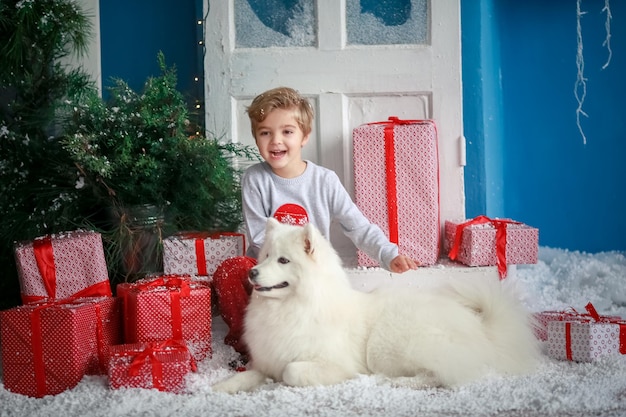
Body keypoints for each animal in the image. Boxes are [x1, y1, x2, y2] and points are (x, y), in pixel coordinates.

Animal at [212, 218, 540, 394]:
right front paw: (220, 387)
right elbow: (247, 375)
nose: (252, 273)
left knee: (437, 375)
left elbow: (292, 371)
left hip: (387, 345)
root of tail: (479, 327)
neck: (293, 308)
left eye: (283, 260)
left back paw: (392, 382)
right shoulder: (266, 361)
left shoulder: (332, 364)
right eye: (266, 256)